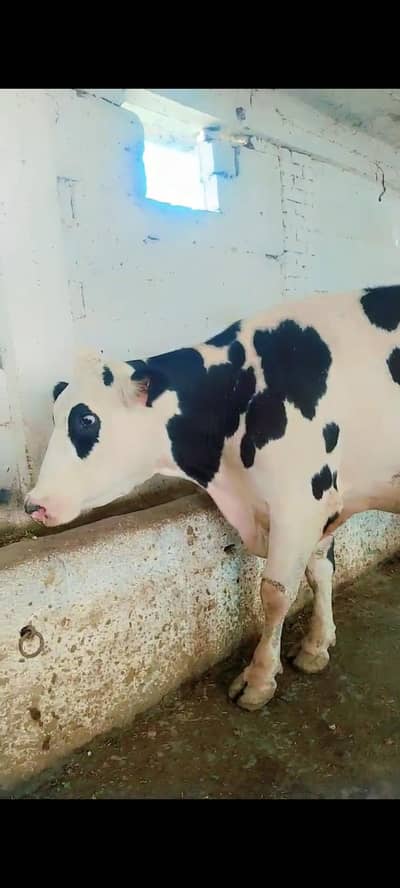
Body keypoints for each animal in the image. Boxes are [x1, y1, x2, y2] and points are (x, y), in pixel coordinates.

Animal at [24, 284, 400, 711]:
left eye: (87, 419)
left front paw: (259, 679)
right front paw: (315, 647)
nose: (34, 504)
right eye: (55, 418)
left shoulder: (299, 502)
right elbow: (320, 571)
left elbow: (275, 592)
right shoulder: (322, 501)